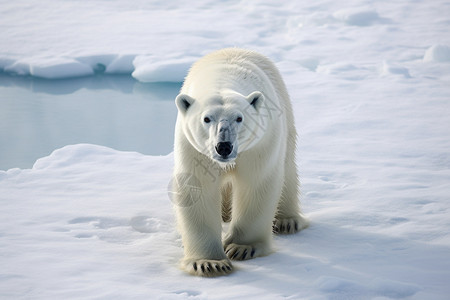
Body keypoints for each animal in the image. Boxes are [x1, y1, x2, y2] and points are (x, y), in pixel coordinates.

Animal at [171, 47, 308, 276]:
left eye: (239, 118)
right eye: (206, 119)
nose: (224, 146)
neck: (222, 78)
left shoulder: (260, 144)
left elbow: (257, 183)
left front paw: (242, 247)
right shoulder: (193, 148)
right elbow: (197, 188)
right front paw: (209, 263)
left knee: (287, 166)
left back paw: (287, 221)